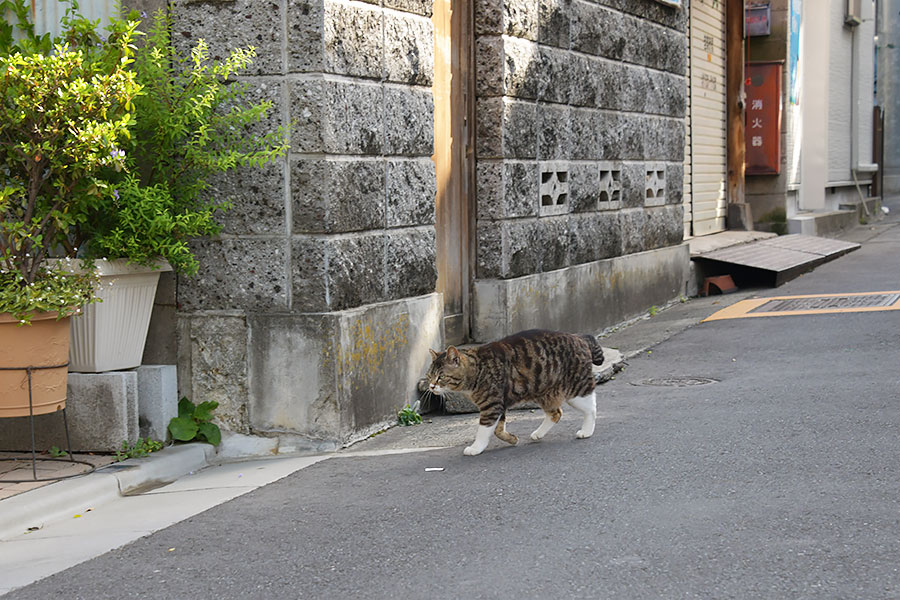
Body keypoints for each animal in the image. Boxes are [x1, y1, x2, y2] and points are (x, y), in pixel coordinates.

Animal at [428, 328, 604, 454]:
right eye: (429, 375)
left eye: (441, 377)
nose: (430, 386)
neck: (477, 370)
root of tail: (579, 337)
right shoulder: (499, 405)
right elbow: (498, 430)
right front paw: (512, 439)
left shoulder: (491, 406)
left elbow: (483, 430)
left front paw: (476, 448)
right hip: (544, 392)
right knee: (556, 413)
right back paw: (538, 433)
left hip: (576, 389)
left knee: (591, 408)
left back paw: (586, 431)